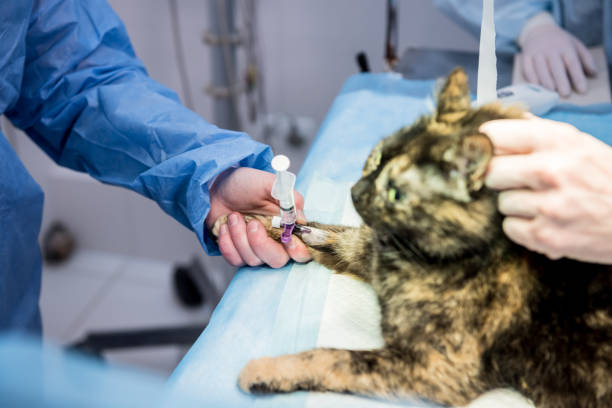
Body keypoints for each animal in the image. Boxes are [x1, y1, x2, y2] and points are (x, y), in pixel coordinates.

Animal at [213, 68, 612, 406]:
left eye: (396, 193)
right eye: (375, 158)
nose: (356, 192)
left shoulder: (435, 367)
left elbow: (332, 357)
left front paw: (265, 370)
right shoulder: (370, 250)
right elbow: (327, 232)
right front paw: (242, 221)